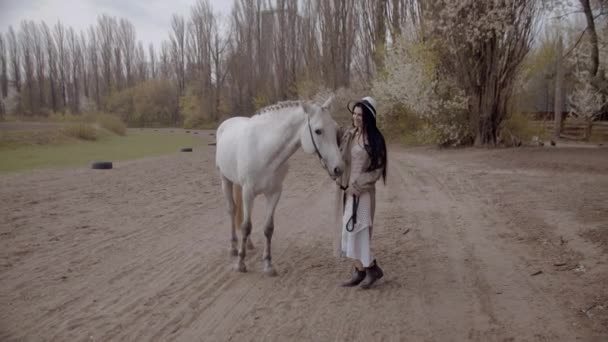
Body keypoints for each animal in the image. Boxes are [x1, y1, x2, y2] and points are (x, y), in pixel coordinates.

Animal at [216, 96, 344, 276]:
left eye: (335, 129)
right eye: (318, 131)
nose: (338, 168)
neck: (263, 150)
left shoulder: (275, 193)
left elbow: (268, 228)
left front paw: (268, 265)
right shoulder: (248, 193)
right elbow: (246, 226)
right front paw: (240, 264)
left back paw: (249, 244)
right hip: (225, 180)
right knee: (232, 211)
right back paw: (234, 248)